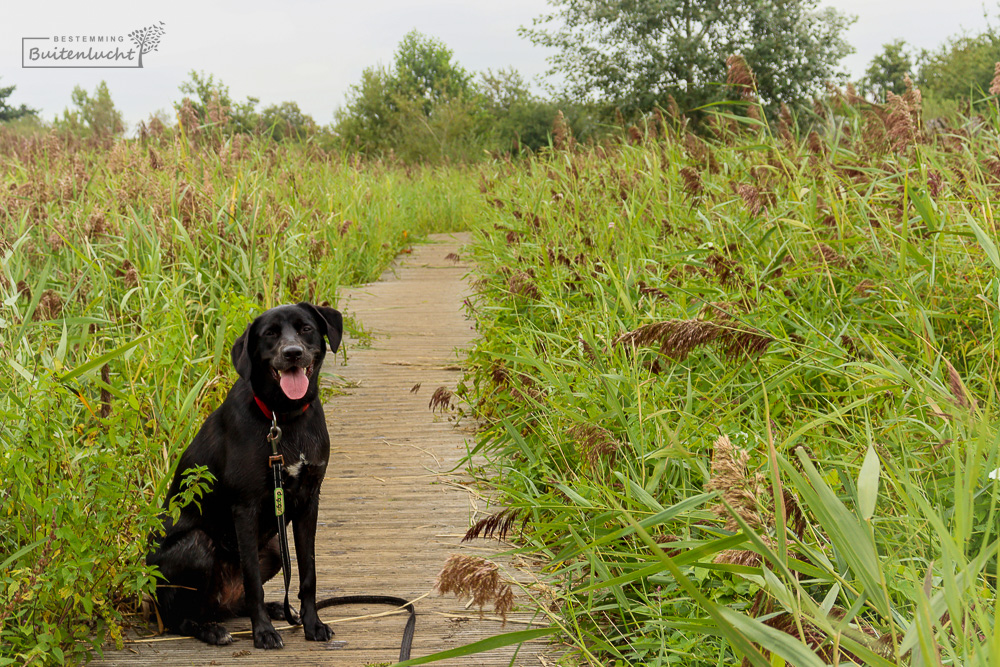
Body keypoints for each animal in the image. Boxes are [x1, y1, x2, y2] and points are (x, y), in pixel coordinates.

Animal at [147, 302, 344, 648]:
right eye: (270, 334)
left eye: (306, 328)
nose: (292, 353)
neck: (284, 416)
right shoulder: (245, 507)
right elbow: (253, 580)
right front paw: (263, 632)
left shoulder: (310, 499)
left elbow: (308, 572)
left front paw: (312, 624)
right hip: (196, 548)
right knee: (179, 618)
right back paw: (210, 629)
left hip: (275, 547)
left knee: (233, 604)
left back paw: (278, 609)